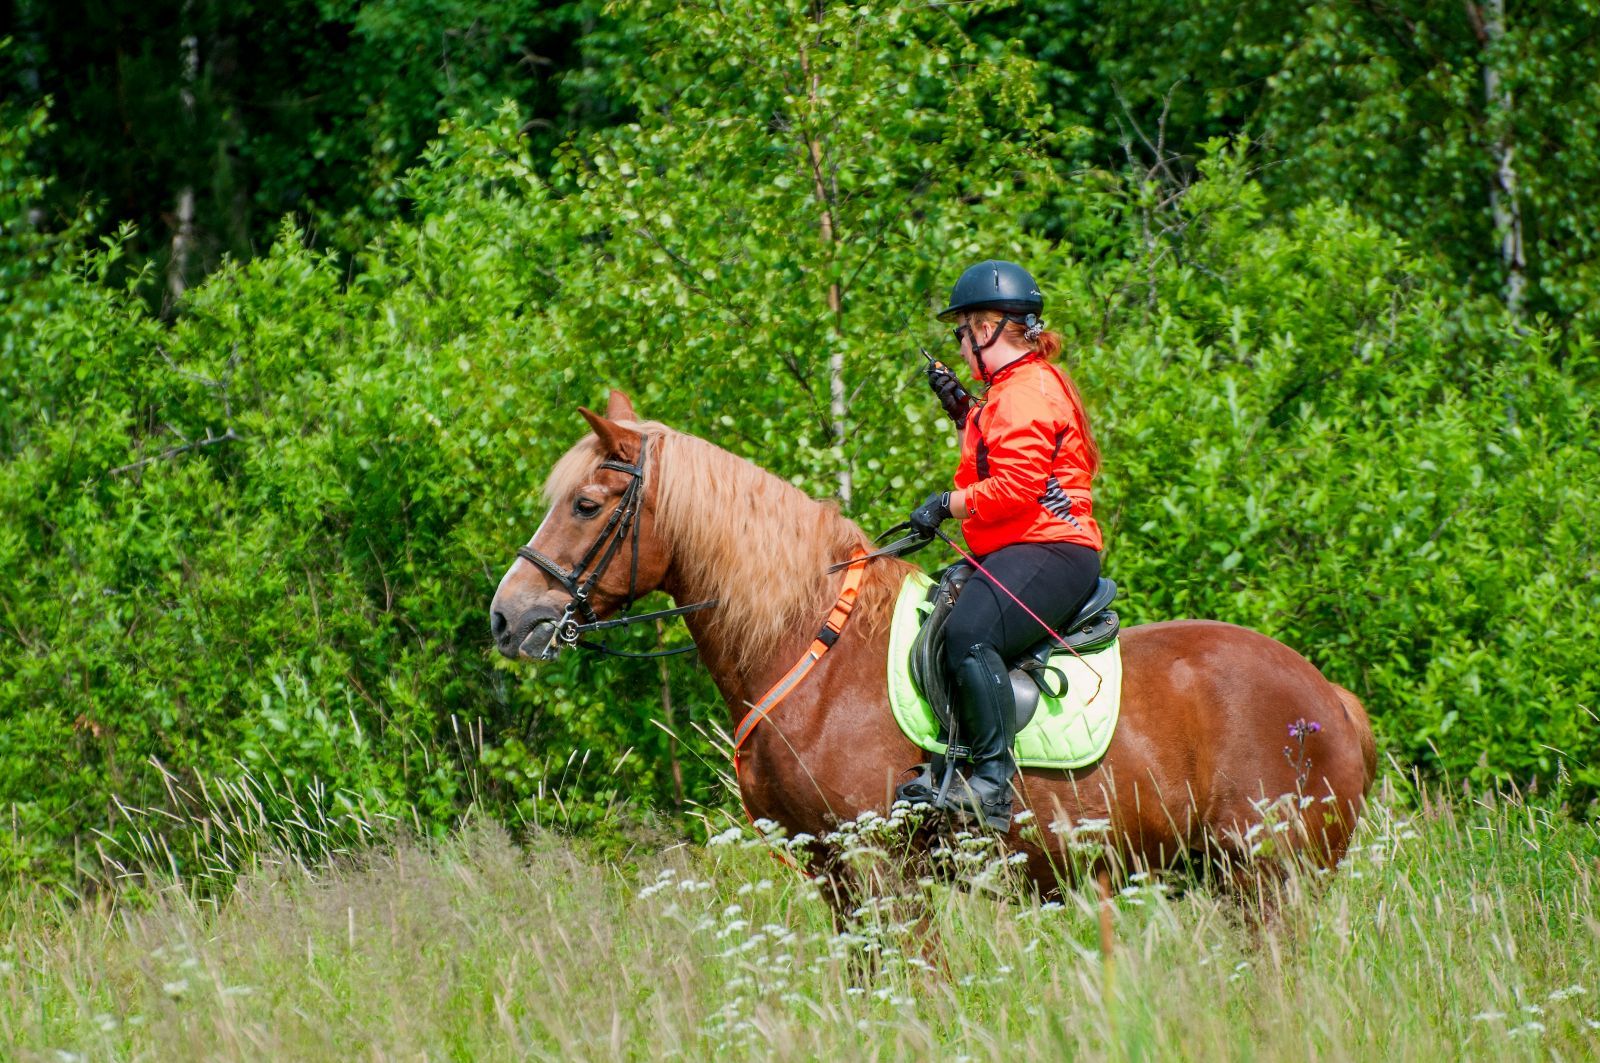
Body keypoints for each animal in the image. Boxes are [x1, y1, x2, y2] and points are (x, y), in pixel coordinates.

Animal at [486, 392, 1376, 922]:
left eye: (586, 504)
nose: (507, 617)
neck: (811, 650)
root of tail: (1328, 695)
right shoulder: (832, 875)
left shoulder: (881, 870)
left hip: (1275, 881)